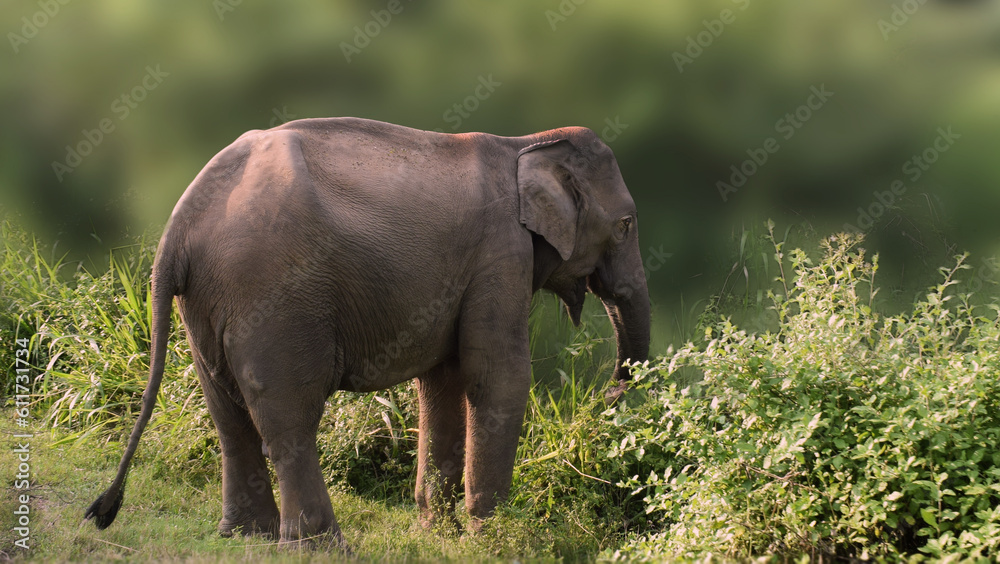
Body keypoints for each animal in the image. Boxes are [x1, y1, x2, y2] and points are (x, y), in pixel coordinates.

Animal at [85, 117, 650, 545]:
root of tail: (178, 225)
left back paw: (248, 538)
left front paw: (435, 534)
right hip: (272, 301)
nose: (604, 396)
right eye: (626, 224)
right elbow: (497, 378)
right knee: (289, 417)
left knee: (228, 415)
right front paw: (494, 540)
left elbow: (443, 381)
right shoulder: (499, 254)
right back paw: (320, 546)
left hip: (205, 304)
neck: (524, 143)